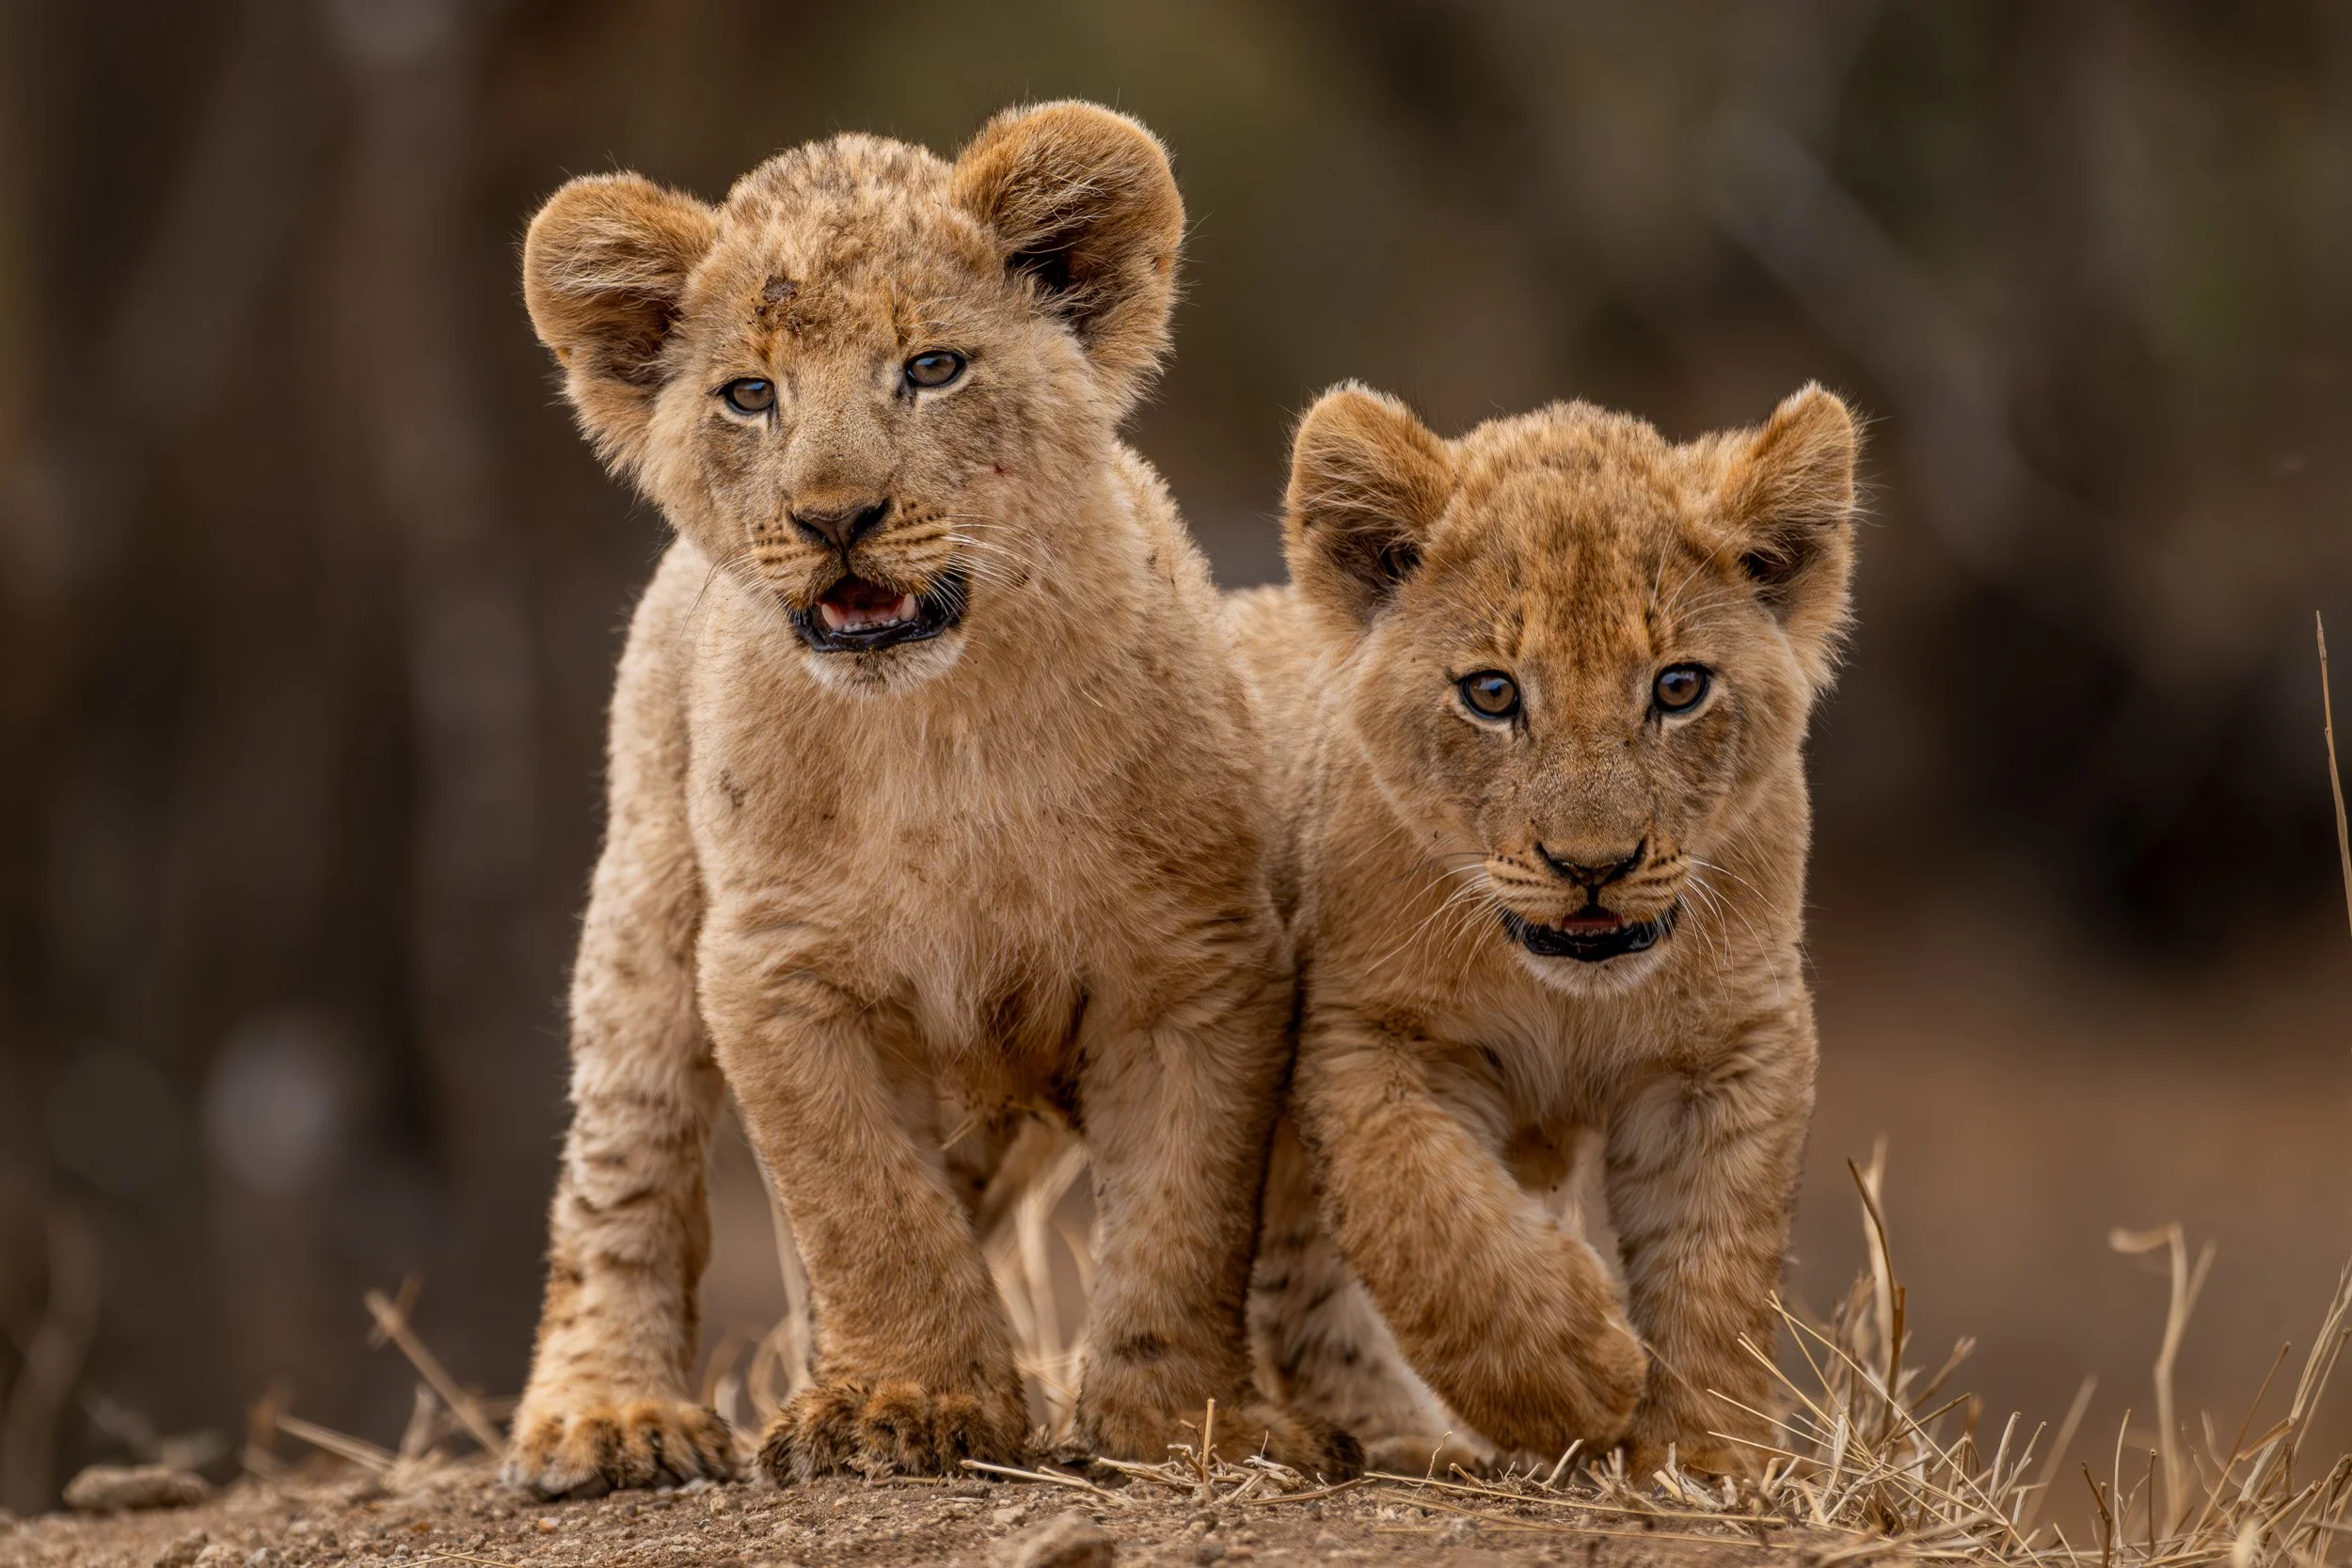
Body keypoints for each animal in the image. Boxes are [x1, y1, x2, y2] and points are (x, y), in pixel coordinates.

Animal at [503, 102, 1350, 1498]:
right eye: (751, 393)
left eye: (933, 368)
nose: (834, 515)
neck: (941, 734)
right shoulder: (776, 967)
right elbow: (865, 1204)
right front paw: (906, 1396)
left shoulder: (1204, 962)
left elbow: (1186, 1212)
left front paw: (1185, 1420)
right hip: (643, 911)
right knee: (623, 1173)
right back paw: (609, 1416)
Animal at [1235, 381, 1859, 1475]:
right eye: (1492, 693)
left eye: (1678, 686)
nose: (1592, 866)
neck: (1566, 996)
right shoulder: (1369, 1031)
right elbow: (1426, 1217)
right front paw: (1579, 1376)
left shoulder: (1733, 1042)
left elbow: (1718, 1255)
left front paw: (1704, 1459)